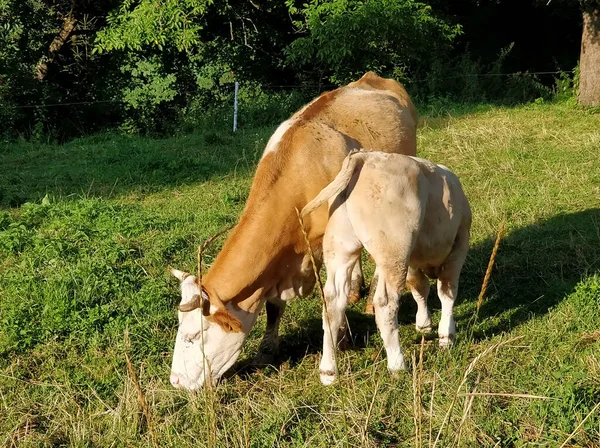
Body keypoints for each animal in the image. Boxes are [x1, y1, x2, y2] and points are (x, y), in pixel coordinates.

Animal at [169, 72, 418, 388]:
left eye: (194, 336)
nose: (175, 381)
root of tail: (373, 77)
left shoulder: (326, 245)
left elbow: (330, 299)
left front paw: (341, 337)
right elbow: (274, 307)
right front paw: (266, 351)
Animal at [302, 150, 472, 384]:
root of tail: (364, 157)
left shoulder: (413, 260)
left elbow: (420, 288)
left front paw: (423, 324)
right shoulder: (458, 248)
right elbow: (446, 292)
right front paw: (446, 336)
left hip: (342, 249)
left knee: (333, 303)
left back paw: (328, 371)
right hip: (393, 250)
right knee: (385, 303)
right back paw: (397, 365)